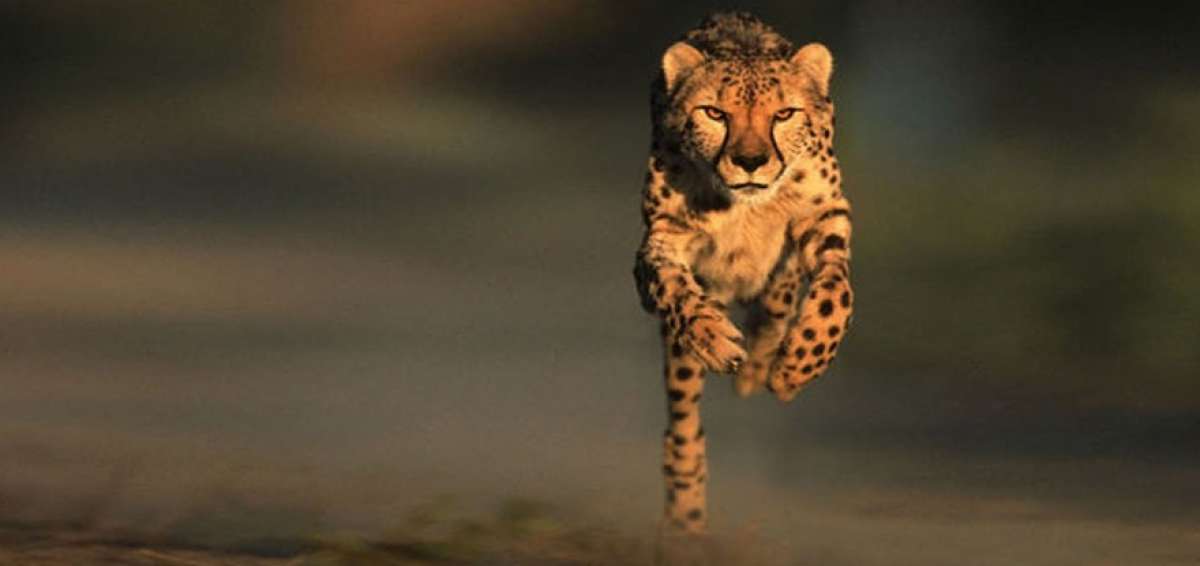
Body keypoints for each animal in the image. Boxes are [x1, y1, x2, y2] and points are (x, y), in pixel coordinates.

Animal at [632, 12, 854, 536]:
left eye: (784, 114)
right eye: (714, 113)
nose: (750, 161)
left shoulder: (827, 217)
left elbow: (835, 295)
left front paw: (795, 368)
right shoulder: (660, 243)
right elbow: (674, 287)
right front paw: (711, 333)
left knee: (779, 296)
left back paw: (762, 358)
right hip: (680, 373)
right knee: (683, 418)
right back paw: (685, 503)